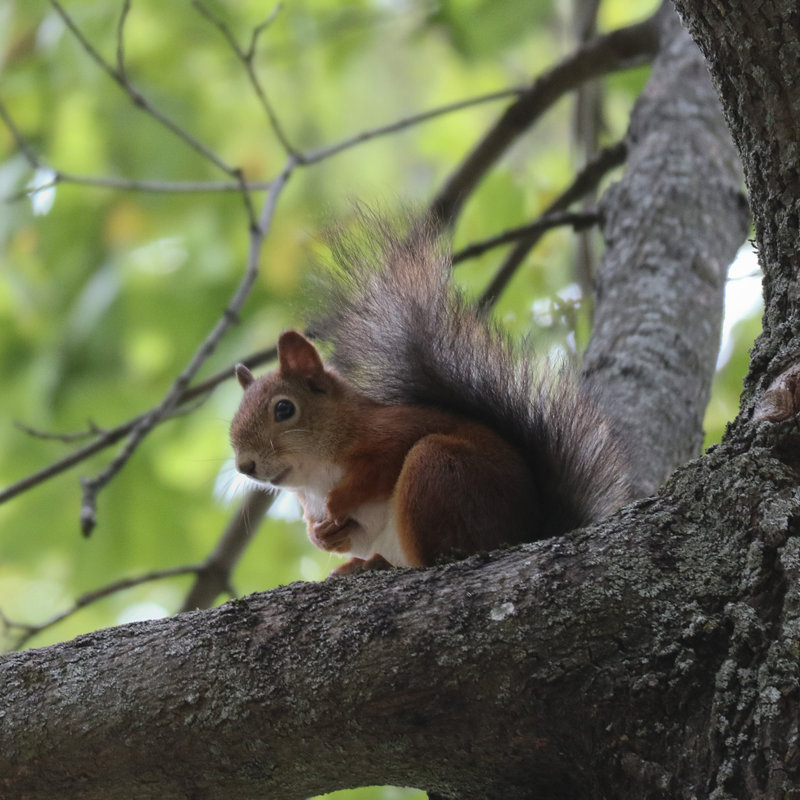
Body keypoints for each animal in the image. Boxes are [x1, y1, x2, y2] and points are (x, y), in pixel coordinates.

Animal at [228, 212, 628, 576]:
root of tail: (528, 532)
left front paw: (338, 501)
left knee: (437, 555)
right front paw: (321, 534)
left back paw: (380, 563)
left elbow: (379, 468)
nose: (245, 466)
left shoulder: (391, 431)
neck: (313, 476)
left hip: (439, 469)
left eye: (284, 409)